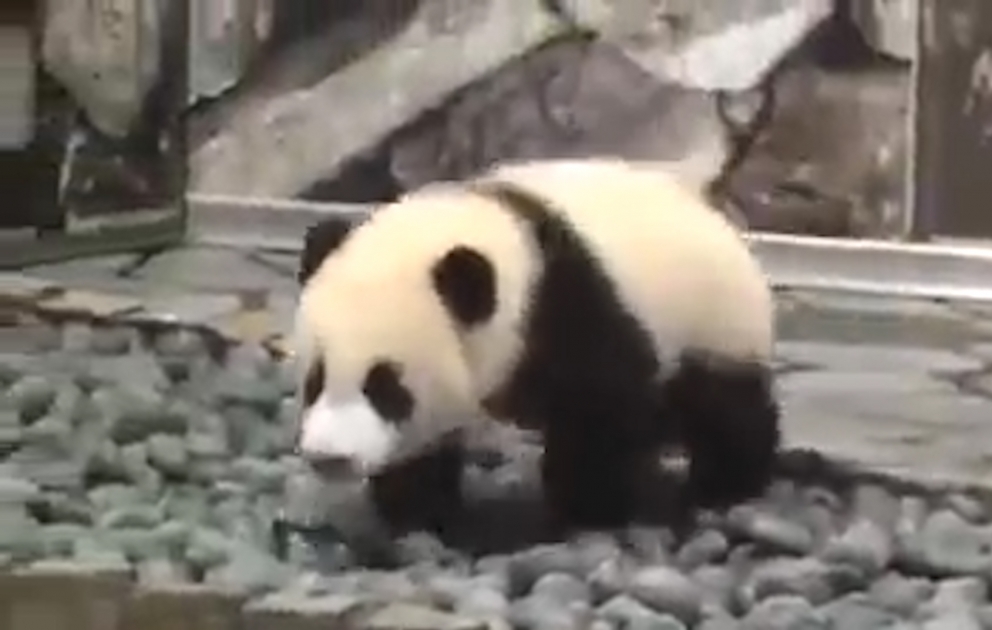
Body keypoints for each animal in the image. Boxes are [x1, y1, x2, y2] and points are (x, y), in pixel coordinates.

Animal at [292, 157, 780, 536]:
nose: (329, 458)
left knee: (724, 407)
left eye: (385, 387)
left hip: (713, 322)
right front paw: (416, 510)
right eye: (315, 381)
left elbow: (599, 408)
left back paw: (721, 487)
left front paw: (585, 509)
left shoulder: (574, 306)